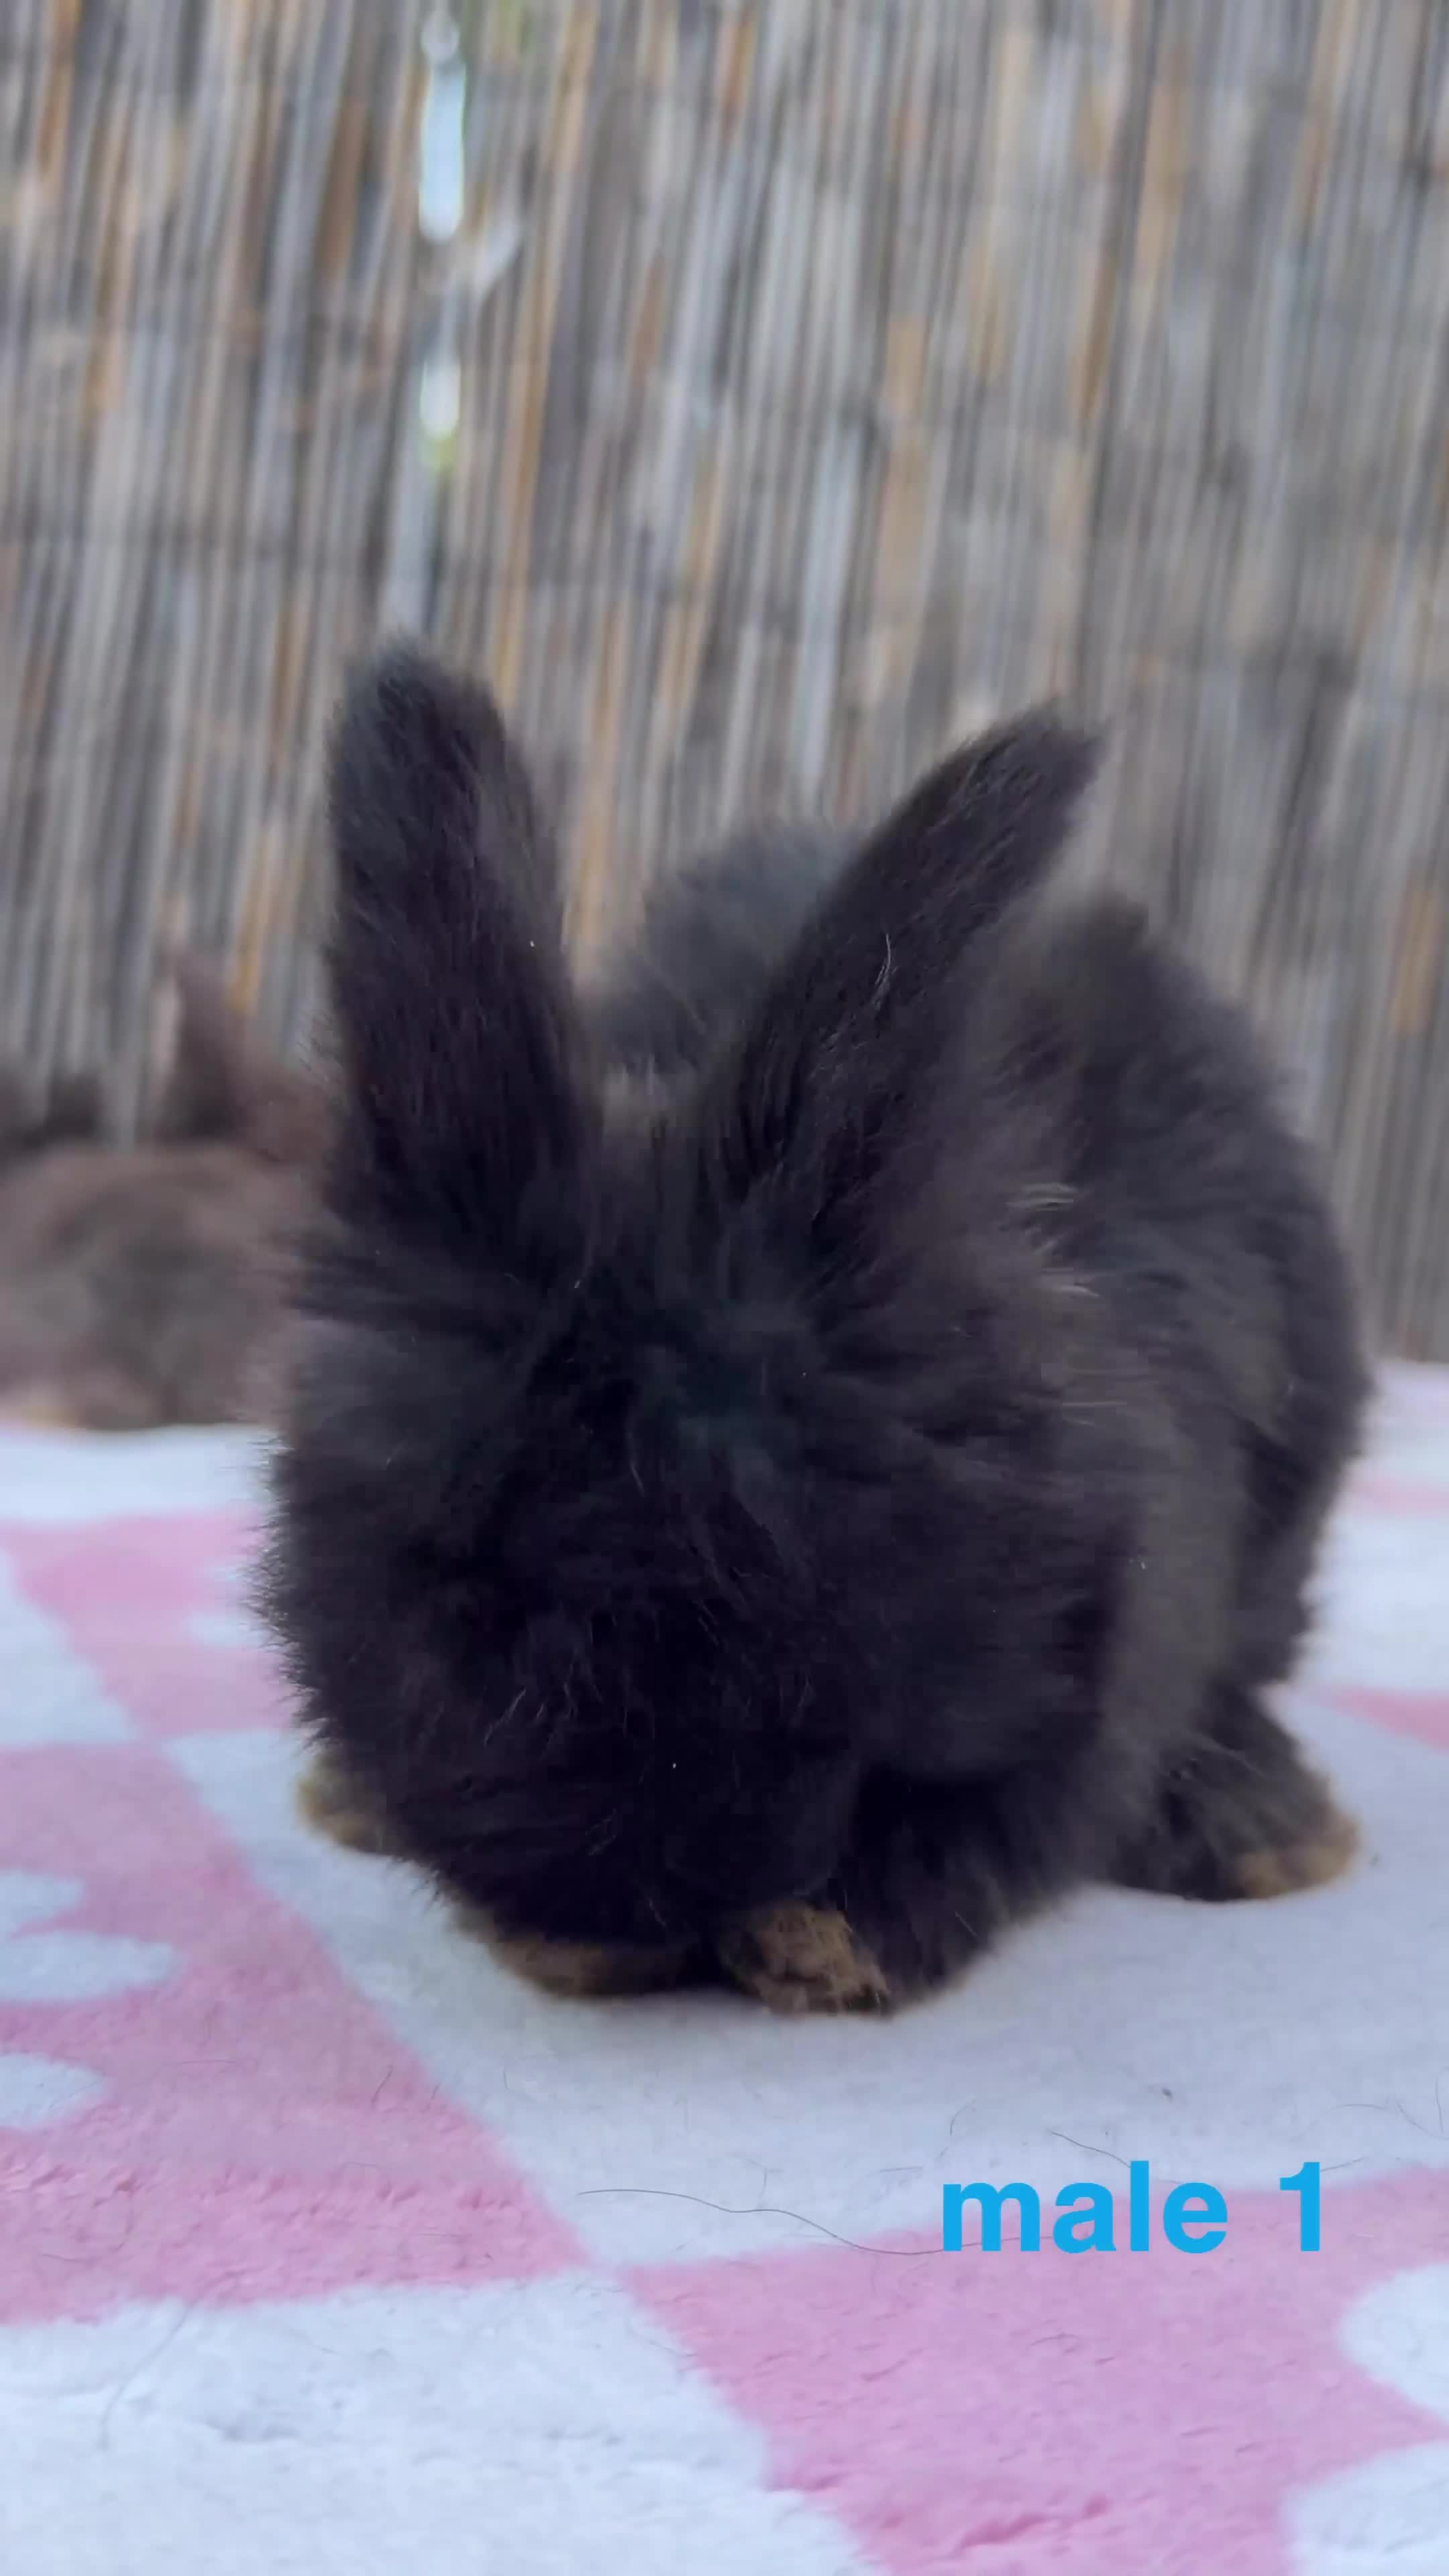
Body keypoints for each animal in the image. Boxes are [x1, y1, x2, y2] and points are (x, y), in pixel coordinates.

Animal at [265, 640, 1368, 2015]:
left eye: (824, 1610)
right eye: (456, 1595)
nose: (621, 1912)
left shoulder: (1119, 1636)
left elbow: (1028, 1808)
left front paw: (826, 1943)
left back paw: (1268, 1832)